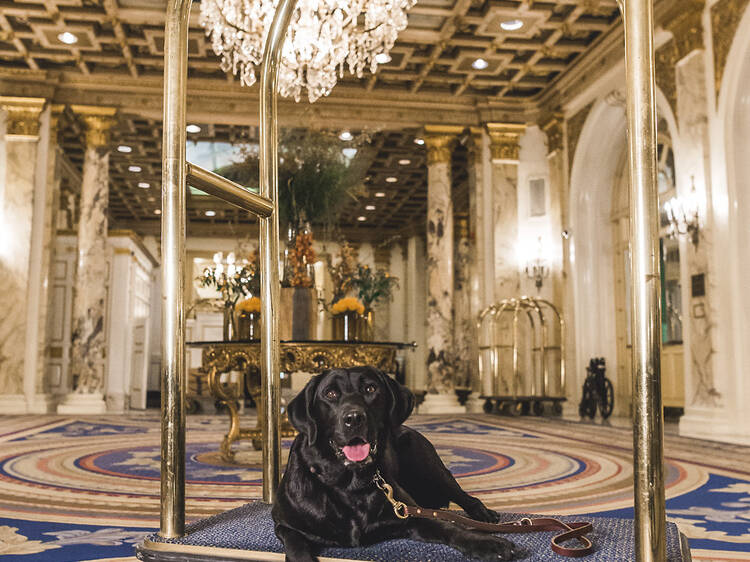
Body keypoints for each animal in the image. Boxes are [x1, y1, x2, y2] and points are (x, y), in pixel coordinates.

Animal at [274, 366, 520, 556]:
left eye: (370, 389)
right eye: (330, 393)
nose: (354, 418)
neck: (349, 486)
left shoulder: (411, 515)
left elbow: (451, 528)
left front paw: (487, 544)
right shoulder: (284, 526)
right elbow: (297, 547)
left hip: (430, 466)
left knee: (463, 496)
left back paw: (484, 514)